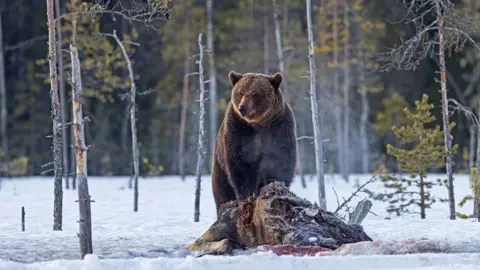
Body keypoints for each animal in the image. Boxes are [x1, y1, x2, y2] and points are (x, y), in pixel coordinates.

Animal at [211, 70, 296, 216]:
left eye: (255, 94)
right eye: (240, 93)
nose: (242, 108)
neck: (259, 125)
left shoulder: (280, 128)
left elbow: (280, 160)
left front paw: (273, 186)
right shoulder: (238, 130)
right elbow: (240, 163)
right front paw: (246, 196)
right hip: (219, 165)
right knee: (222, 190)